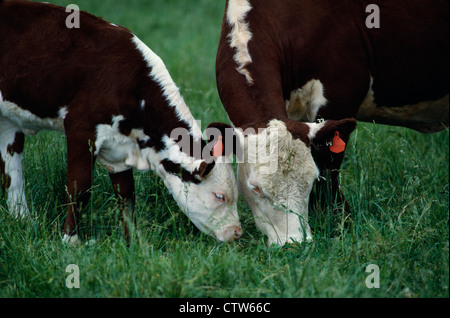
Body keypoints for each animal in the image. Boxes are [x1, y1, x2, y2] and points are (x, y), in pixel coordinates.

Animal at [0, 0, 243, 243]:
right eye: (219, 196)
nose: (237, 233)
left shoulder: (118, 149)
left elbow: (126, 196)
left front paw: (132, 241)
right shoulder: (80, 130)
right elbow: (79, 187)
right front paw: (70, 240)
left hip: (8, 123)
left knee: (12, 172)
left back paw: (23, 220)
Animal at [213, 0, 448, 246]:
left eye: (310, 182)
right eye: (256, 188)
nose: (295, 243)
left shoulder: (340, 95)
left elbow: (329, 163)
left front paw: (337, 216)